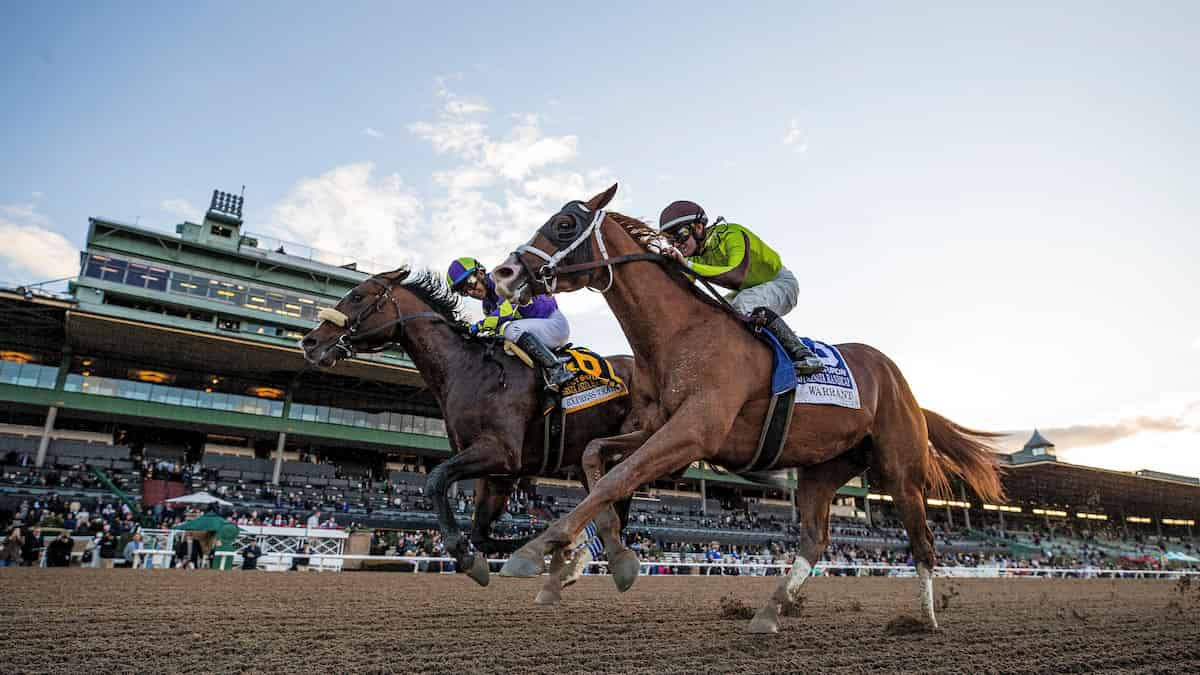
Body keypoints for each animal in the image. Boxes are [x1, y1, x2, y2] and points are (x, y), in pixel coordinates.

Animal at [296, 264, 643, 598]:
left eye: (357, 296)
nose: (309, 342)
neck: (469, 369)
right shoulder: (497, 474)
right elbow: (480, 534)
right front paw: (508, 551)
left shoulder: (500, 453)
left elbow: (436, 480)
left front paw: (467, 552)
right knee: (614, 507)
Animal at [492, 182, 1008, 629]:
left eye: (564, 224)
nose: (505, 273)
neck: (681, 335)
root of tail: (903, 386)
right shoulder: (660, 428)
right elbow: (596, 457)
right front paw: (606, 556)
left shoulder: (695, 433)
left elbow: (618, 476)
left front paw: (536, 550)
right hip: (824, 467)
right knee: (815, 540)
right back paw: (769, 612)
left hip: (901, 470)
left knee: (922, 542)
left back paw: (925, 619)